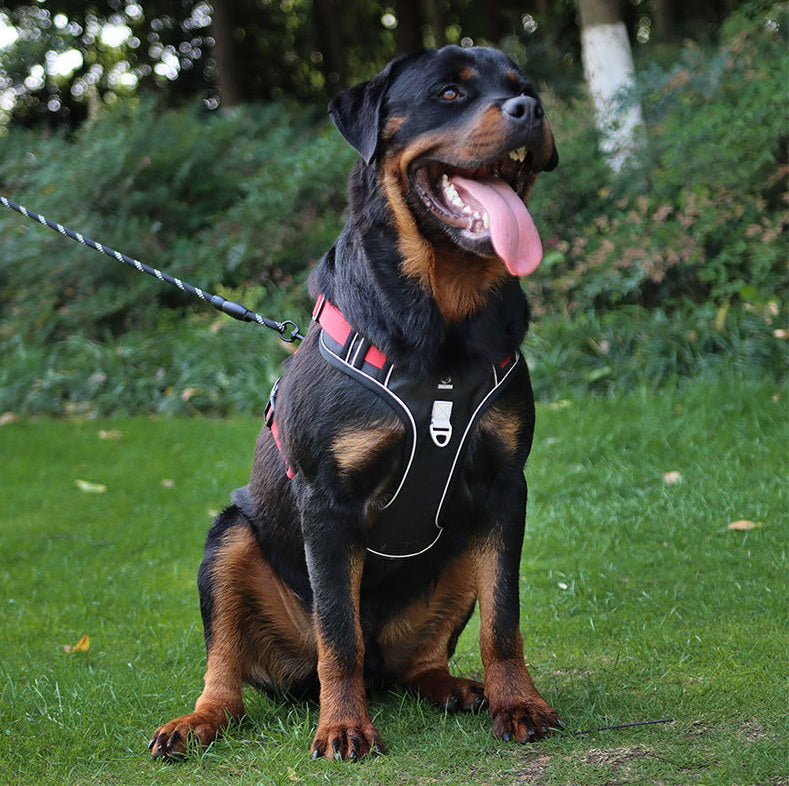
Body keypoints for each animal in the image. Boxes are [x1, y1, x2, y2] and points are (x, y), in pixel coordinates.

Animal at [151, 43, 556, 760]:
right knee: (231, 664)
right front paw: (343, 727)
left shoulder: (505, 487)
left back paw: (456, 688)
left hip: (456, 553)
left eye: (524, 87)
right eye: (448, 93)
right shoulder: (327, 498)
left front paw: (518, 703)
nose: (529, 110)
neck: (441, 326)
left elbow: (502, 621)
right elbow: (338, 632)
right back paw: (198, 721)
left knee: (420, 657)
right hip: (229, 540)